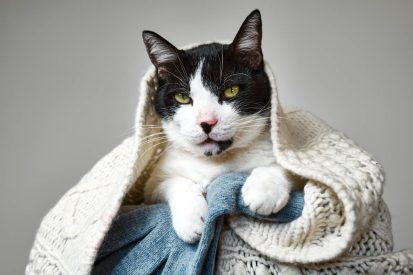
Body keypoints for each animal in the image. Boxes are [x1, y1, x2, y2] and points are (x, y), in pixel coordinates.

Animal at [143, 9, 292, 245]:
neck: (214, 163)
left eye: (231, 90)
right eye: (182, 97)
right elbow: (172, 182)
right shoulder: (149, 189)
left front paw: (264, 190)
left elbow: (286, 166)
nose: (207, 122)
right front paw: (192, 219)